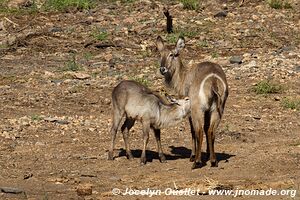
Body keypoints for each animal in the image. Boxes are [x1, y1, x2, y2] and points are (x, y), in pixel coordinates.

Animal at [156, 36, 229, 169]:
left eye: (172, 54)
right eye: (160, 54)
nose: (162, 69)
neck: (183, 76)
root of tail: (213, 80)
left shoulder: (189, 108)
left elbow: (193, 131)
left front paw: (192, 156)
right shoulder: (208, 110)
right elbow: (206, 128)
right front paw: (207, 155)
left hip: (197, 109)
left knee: (198, 130)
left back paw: (196, 162)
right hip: (218, 109)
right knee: (211, 130)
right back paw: (213, 160)